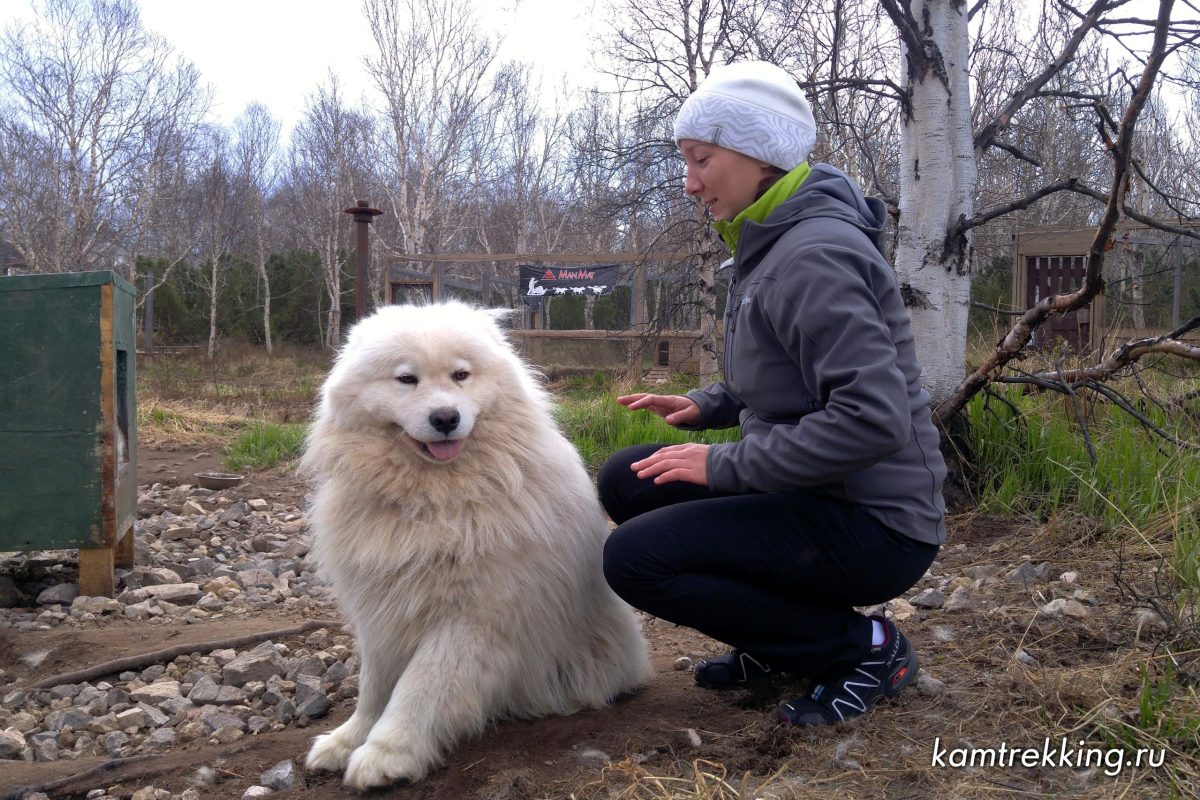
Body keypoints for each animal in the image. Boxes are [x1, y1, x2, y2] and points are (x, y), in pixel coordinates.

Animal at [304, 303, 652, 791]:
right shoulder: (382, 609)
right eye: (406, 379)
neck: (433, 502)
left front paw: (387, 754)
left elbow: (418, 687)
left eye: (460, 375)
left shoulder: (469, 616)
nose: (446, 418)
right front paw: (346, 739)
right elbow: (373, 687)